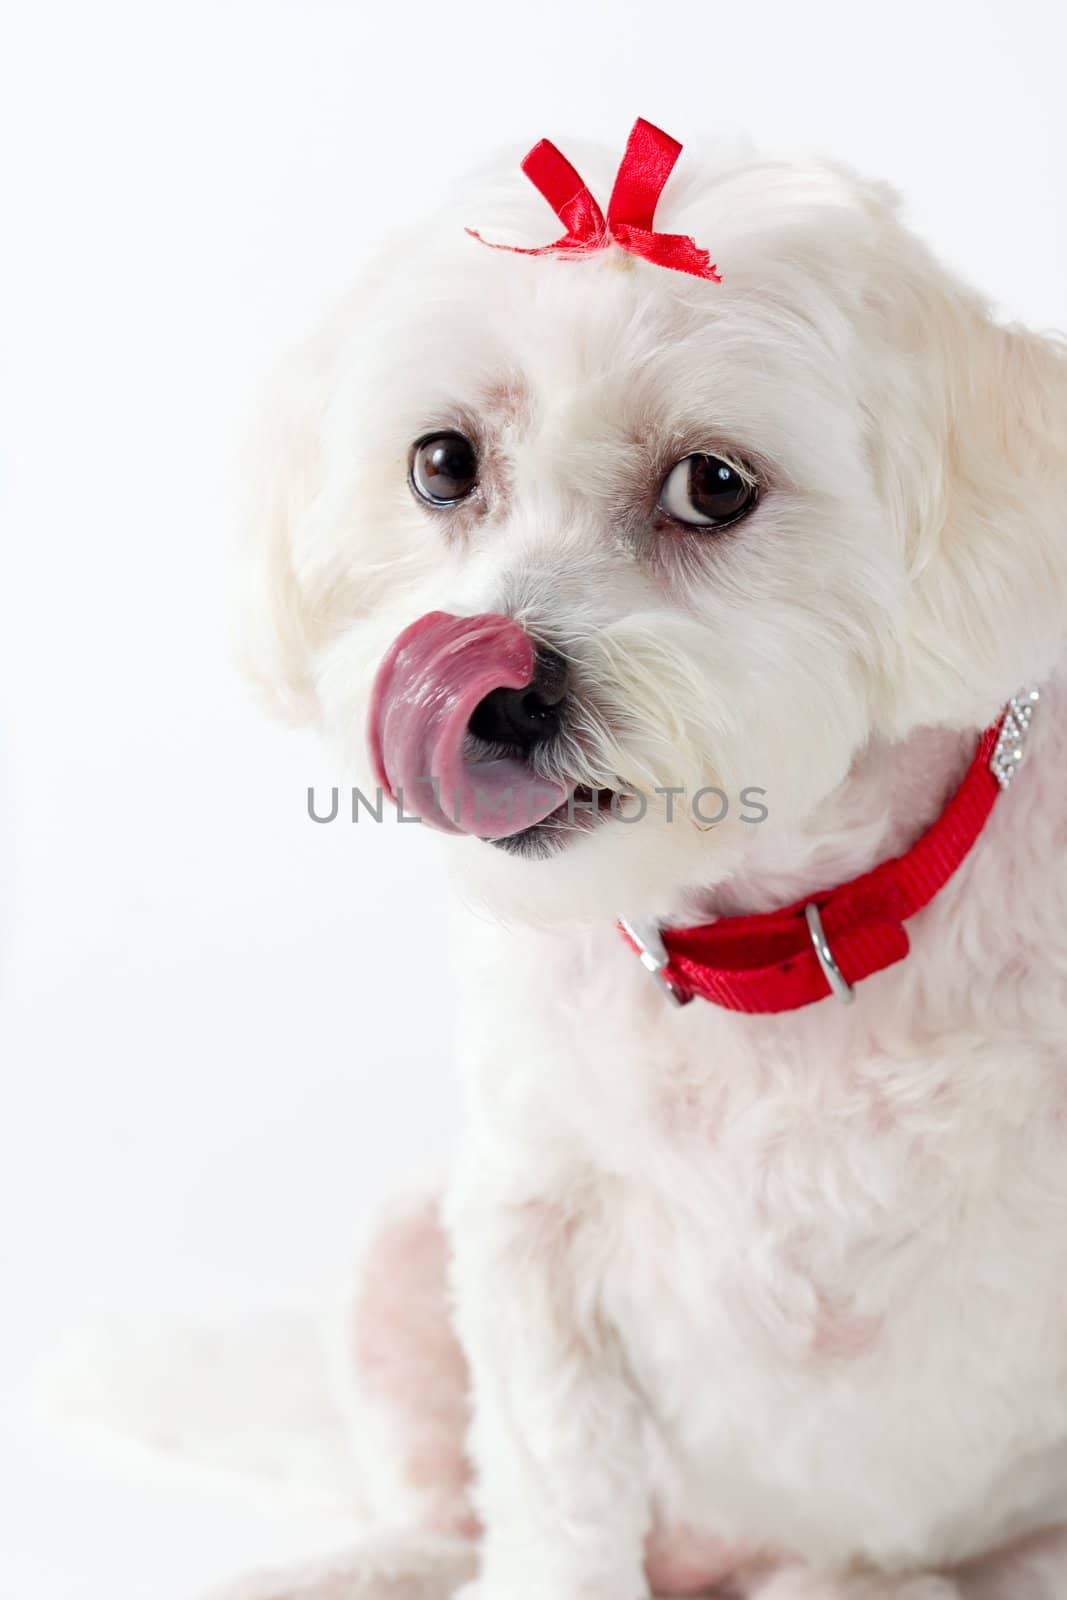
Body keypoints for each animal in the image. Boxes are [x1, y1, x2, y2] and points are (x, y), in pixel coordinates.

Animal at [230, 121, 1067, 1600]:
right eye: (442, 464)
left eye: (710, 484)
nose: (495, 689)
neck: (781, 953)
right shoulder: (528, 1237)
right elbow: (552, 1499)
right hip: (403, 1249)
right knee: (446, 1512)